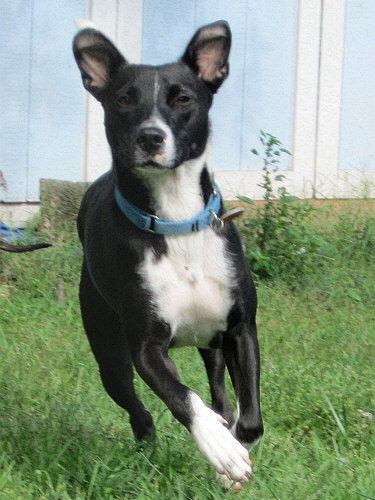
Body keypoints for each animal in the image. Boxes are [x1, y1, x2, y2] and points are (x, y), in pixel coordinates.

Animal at [72, 21, 262, 486]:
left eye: (183, 98)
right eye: (124, 99)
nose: (150, 136)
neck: (176, 221)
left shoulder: (240, 328)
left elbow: (249, 420)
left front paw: (233, 456)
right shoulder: (146, 347)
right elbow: (182, 397)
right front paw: (221, 449)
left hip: (212, 344)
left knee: (220, 393)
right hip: (108, 350)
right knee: (138, 410)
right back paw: (147, 444)